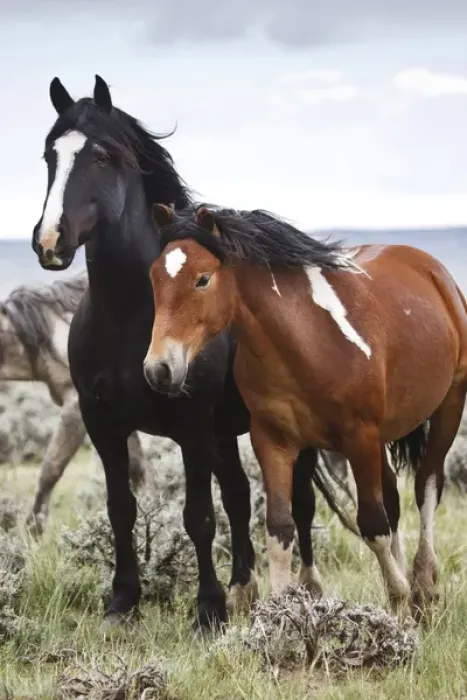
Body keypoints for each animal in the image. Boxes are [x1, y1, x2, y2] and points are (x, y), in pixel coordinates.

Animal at [30, 75, 354, 630]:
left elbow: (199, 516)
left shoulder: (192, 425)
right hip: (226, 434)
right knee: (240, 498)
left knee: (301, 503)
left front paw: (208, 610)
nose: (51, 241)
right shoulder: (103, 422)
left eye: (101, 156)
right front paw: (123, 602)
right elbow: (122, 508)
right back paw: (244, 589)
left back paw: (305, 592)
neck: (133, 315)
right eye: (51, 155)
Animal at [144, 203, 467, 615]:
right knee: (394, 498)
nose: (159, 370)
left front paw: (399, 598)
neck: (307, 340)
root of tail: (433, 271)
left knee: (426, 488)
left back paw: (424, 587)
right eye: (154, 277)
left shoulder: (359, 437)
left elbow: (372, 524)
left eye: (202, 279)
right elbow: (280, 529)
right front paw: (279, 614)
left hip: (447, 409)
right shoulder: (274, 441)